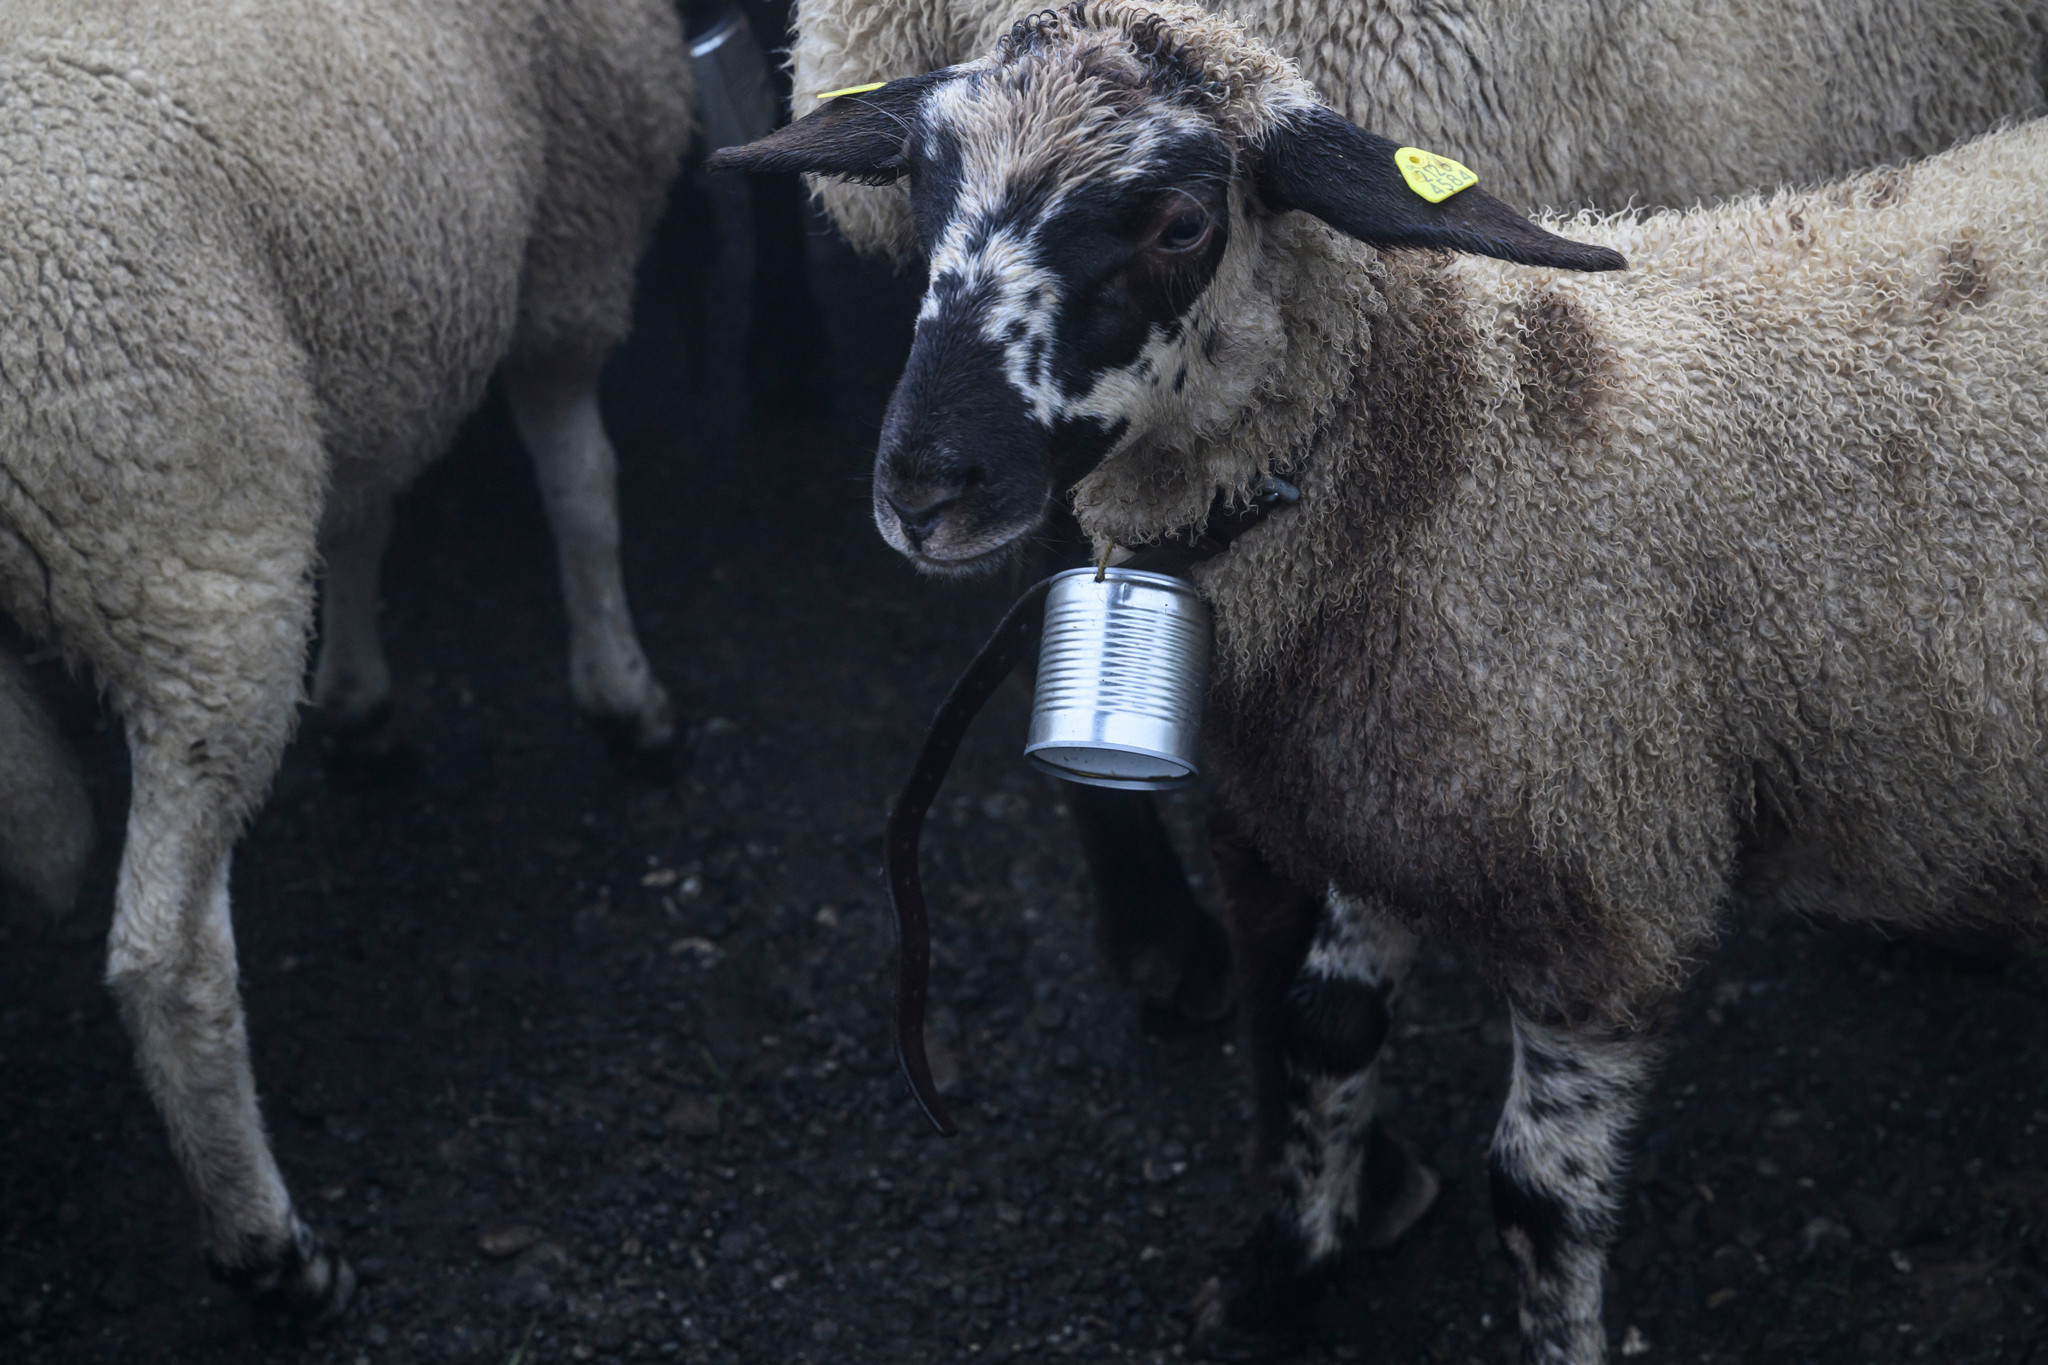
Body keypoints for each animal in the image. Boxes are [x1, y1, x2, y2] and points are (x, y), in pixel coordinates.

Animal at [0, 0, 690, 1317]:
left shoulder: (363, 340)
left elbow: (362, 521)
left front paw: (365, 705)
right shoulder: (567, 247)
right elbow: (582, 487)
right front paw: (623, 700)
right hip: (187, 538)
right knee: (168, 962)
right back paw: (271, 1247)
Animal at [709, 3, 2048, 1359]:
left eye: (1180, 224)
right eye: (921, 190)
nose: (925, 488)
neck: (1449, 425)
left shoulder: (1610, 895)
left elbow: (1535, 1199)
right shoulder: (1368, 800)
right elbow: (1321, 1028)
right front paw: (1294, 1251)